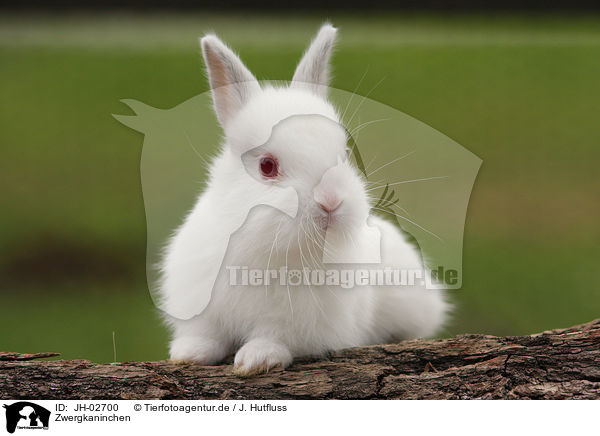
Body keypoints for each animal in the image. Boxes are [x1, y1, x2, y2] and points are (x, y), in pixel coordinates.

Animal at [161, 23, 450, 376]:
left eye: (344, 154)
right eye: (267, 166)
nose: (330, 202)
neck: (266, 248)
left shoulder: (296, 324)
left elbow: (274, 338)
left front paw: (256, 360)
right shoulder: (201, 305)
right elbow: (206, 335)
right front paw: (188, 353)